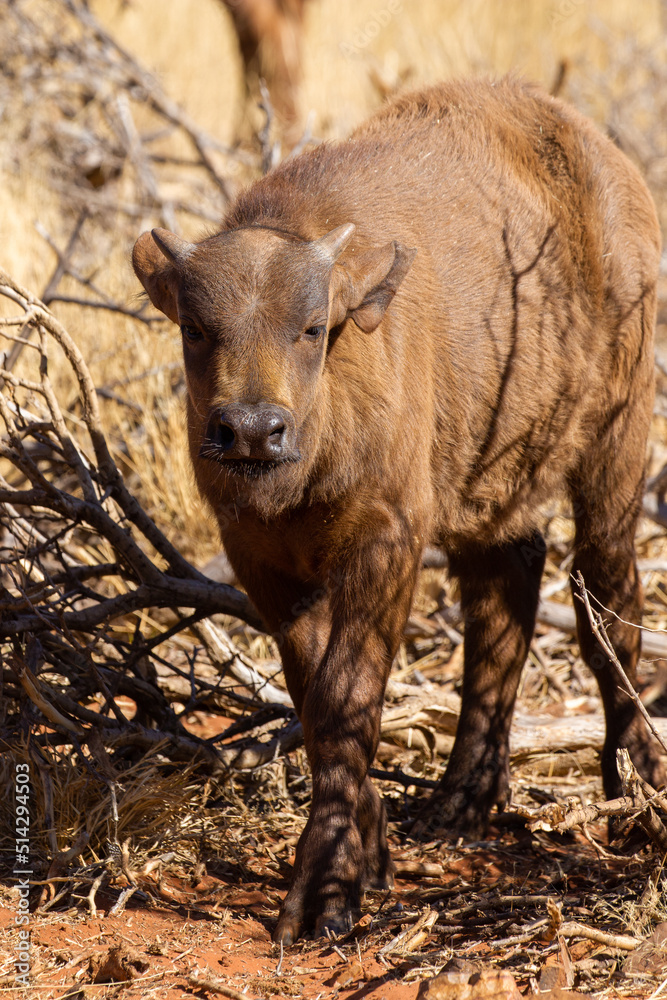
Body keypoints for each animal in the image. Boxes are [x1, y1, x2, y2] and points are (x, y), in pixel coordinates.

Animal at [132, 77, 664, 944]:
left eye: (312, 328)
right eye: (197, 330)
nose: (250, 430)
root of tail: (609, 166)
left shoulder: (388, 539)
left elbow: (348, 696)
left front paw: (326, 886)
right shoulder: (260, 560)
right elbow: (314, 698)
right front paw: (371, 843)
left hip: (616, 438)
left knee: (605, 599)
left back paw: (638, 783)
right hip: (495, 479)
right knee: (506, 594)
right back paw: (462, 798)